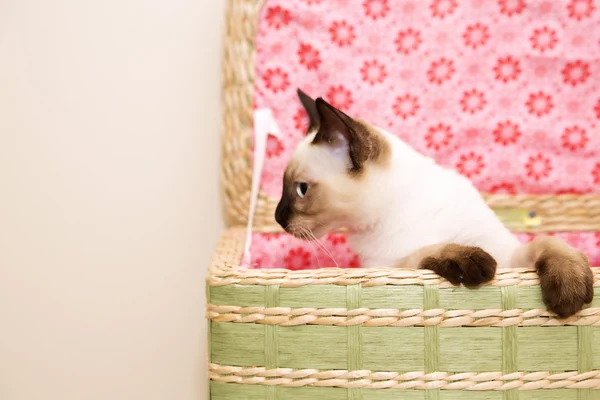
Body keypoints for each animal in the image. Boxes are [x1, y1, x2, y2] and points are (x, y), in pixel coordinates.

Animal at [276, 90, 596, 318]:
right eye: (287, 187)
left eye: (301, 190)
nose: (279, 217)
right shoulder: (391, 267)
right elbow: (427, 251)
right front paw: (470, 261)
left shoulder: (508, 256)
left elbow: (547, 242)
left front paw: (569, 291)